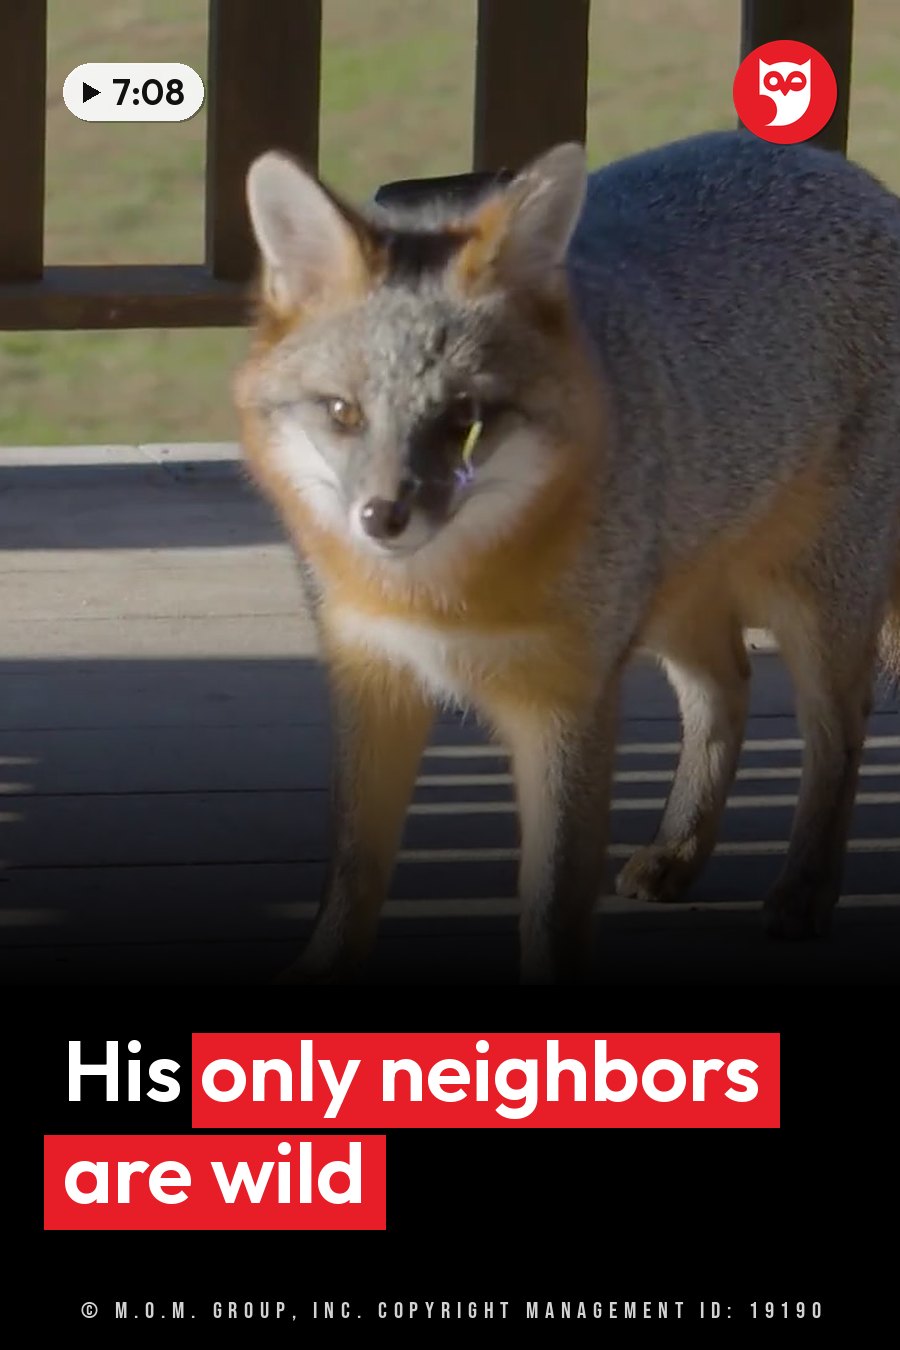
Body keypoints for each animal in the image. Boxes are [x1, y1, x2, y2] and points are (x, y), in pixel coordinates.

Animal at [234, 129, 900, 984]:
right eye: (344, 413)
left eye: (466, 419)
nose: (383, 517)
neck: (441, 593)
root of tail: (843, 171)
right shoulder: (374, 676)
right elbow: (353, 870)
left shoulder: (566, 701)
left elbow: (553, 899)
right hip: (670, 601)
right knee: (727, 686)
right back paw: (678, 850)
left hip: (813, 606)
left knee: (838, 730)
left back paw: (805, 892)